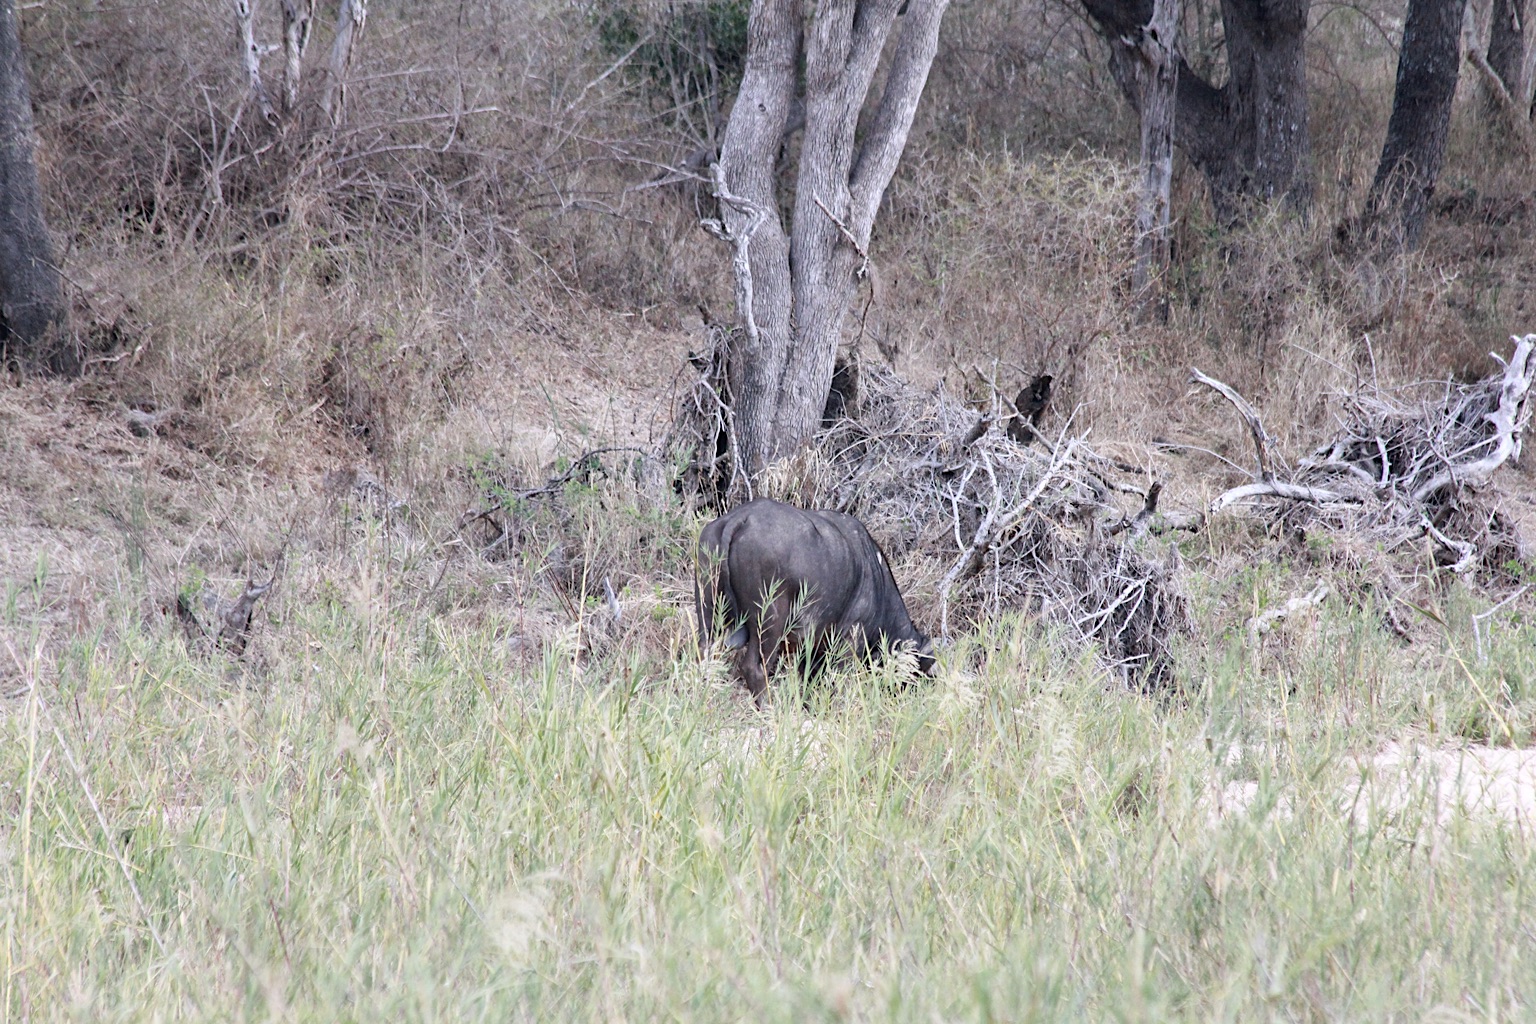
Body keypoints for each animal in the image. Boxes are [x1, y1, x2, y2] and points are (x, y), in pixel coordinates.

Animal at [695, 498, 936, 704]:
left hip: (707, 609)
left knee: (704, 652)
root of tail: (741, 517)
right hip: (769, 622)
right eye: (914, 675)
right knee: (754, 667)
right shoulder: (848, 644)